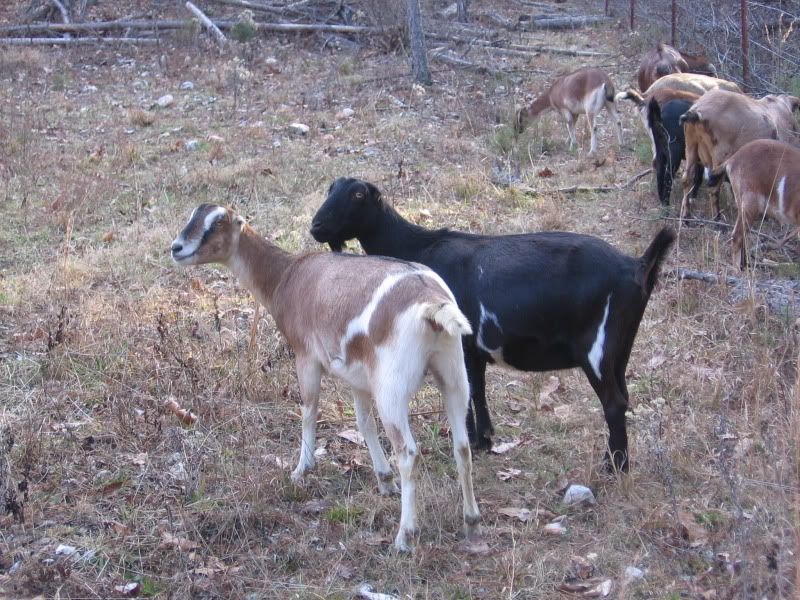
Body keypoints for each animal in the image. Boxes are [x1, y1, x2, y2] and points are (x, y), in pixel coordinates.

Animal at [171, 204, 480, 552]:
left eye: (216, 223)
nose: (176, 248)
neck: (287, 276)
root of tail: (432, 306)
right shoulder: (359, 376)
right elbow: (364, 424)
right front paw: (384, 481)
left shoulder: (306, 356)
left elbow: (309, 409)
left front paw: (301, 470)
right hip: (453, 372)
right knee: (462, 445)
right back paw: (471, 521)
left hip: (392, 388)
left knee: (409, 453)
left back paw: (405, 536)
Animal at [311, 178, 676, 472]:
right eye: (330, 189)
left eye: (358, 194)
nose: (316, 226)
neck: (419, 247)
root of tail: (637, 266)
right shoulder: (470, 348)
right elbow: (477, 389)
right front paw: (482, 439)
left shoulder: (458, 343)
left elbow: (466, 392)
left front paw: (473, 443)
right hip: (620, 347)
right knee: (624, 397)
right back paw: (614, 460)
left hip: (597, 347)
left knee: (613, 403)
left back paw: (615, 469)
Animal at [679, 90, 800, 220]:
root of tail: (697, 110)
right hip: (720, 156)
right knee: (714, 187)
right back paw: (717, 218)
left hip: (691, 147)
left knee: (687, 180)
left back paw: (686, 217)